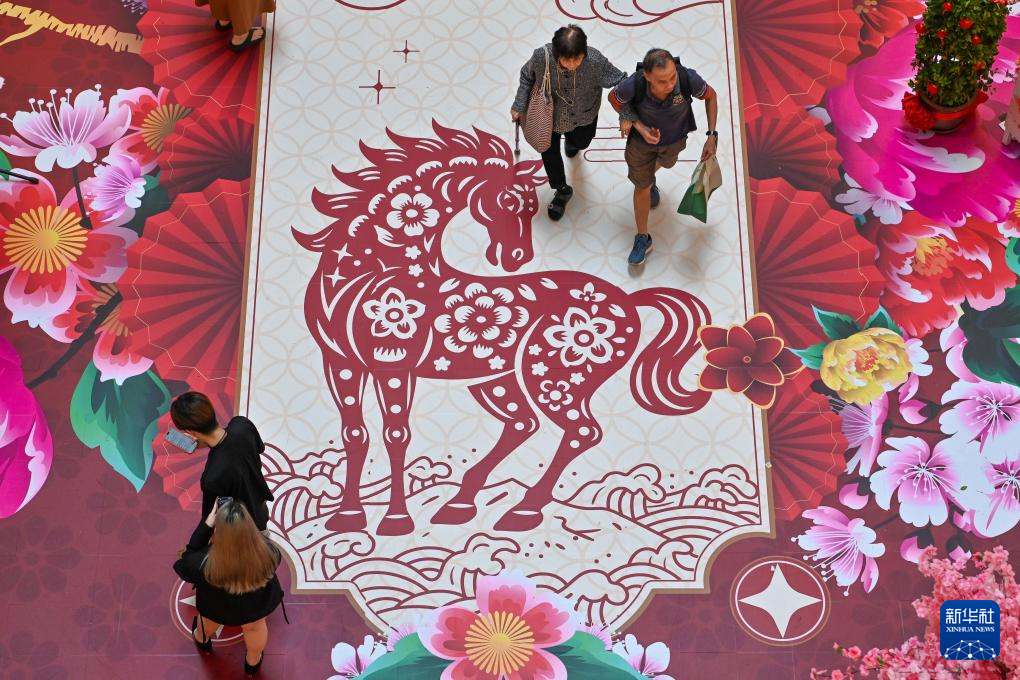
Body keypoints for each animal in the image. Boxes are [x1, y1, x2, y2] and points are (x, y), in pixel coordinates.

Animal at [293, 121, 710, 536]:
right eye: (510, 203)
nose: (517, 258)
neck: (376, 271)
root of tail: (630, 300)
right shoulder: (341, 364)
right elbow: (355, 435)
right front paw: (347, 516)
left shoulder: (394, 366)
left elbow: (396, 435)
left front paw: (396, 521)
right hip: (495, 379)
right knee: (523, 424)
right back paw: (460, 505)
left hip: (555, 381)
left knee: (581, 431)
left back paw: (522, 511)